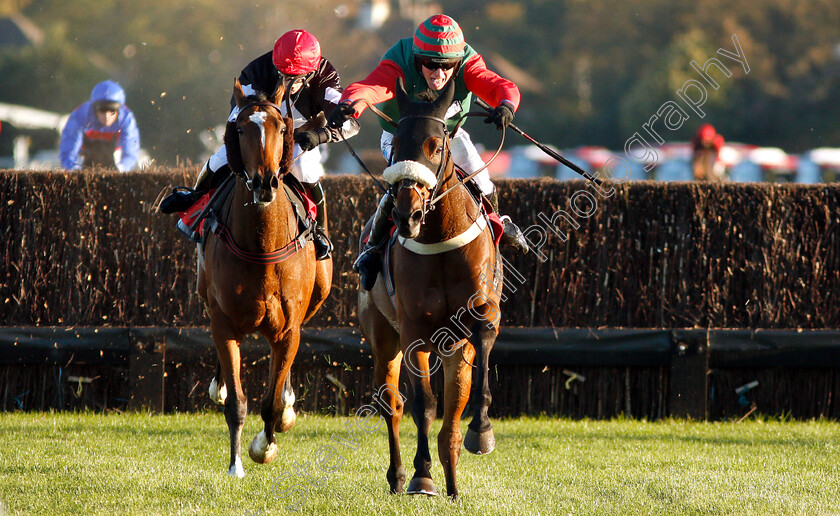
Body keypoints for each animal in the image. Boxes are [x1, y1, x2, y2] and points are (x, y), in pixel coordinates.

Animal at [200, 78, 332, 478]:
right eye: (242, 129)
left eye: (281, 129)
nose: (264, 183)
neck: (261, 246)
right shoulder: (224, 323)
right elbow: (237, 401)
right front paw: (235, 465)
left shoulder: (288, 329)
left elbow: (271, 401)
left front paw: (264, 445)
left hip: (318, 295)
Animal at [358, 78, 502, 498]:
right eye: (395, 147)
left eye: (435, 145)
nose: (407, 215)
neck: (440, 239)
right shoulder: (414, 334)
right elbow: (423, 404)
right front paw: (421, 476)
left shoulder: (483, 314)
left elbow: (481, 351)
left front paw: (481, 432)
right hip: (382, 338)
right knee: (392, 404)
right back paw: (398, 475)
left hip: (455, 352)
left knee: (453, 411)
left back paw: (453, 481)